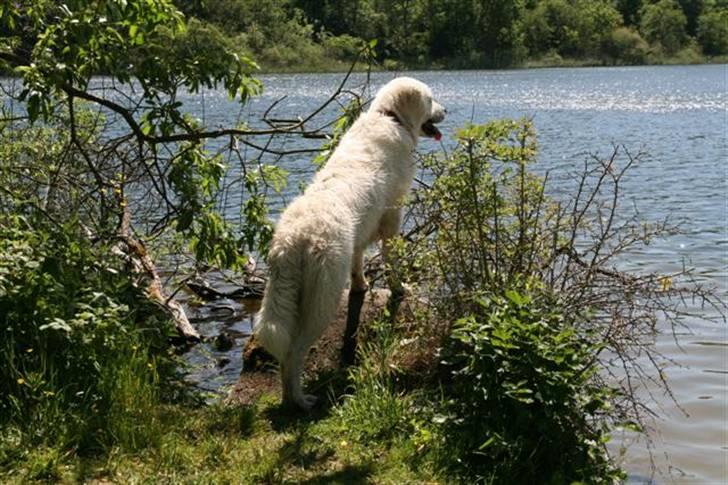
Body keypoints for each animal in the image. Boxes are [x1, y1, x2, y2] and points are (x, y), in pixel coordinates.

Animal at [253, 76, 446, 408]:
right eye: (431, 99)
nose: (446, 110)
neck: (390, 117)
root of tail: (293, 239)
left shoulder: (360, 231)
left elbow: (358, 261)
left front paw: (361, 286)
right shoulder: (393, 214)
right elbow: (391, 258)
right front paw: (398, 287)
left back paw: (290, 398)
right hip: (323, 296)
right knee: (294, 353)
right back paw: (301, 400)